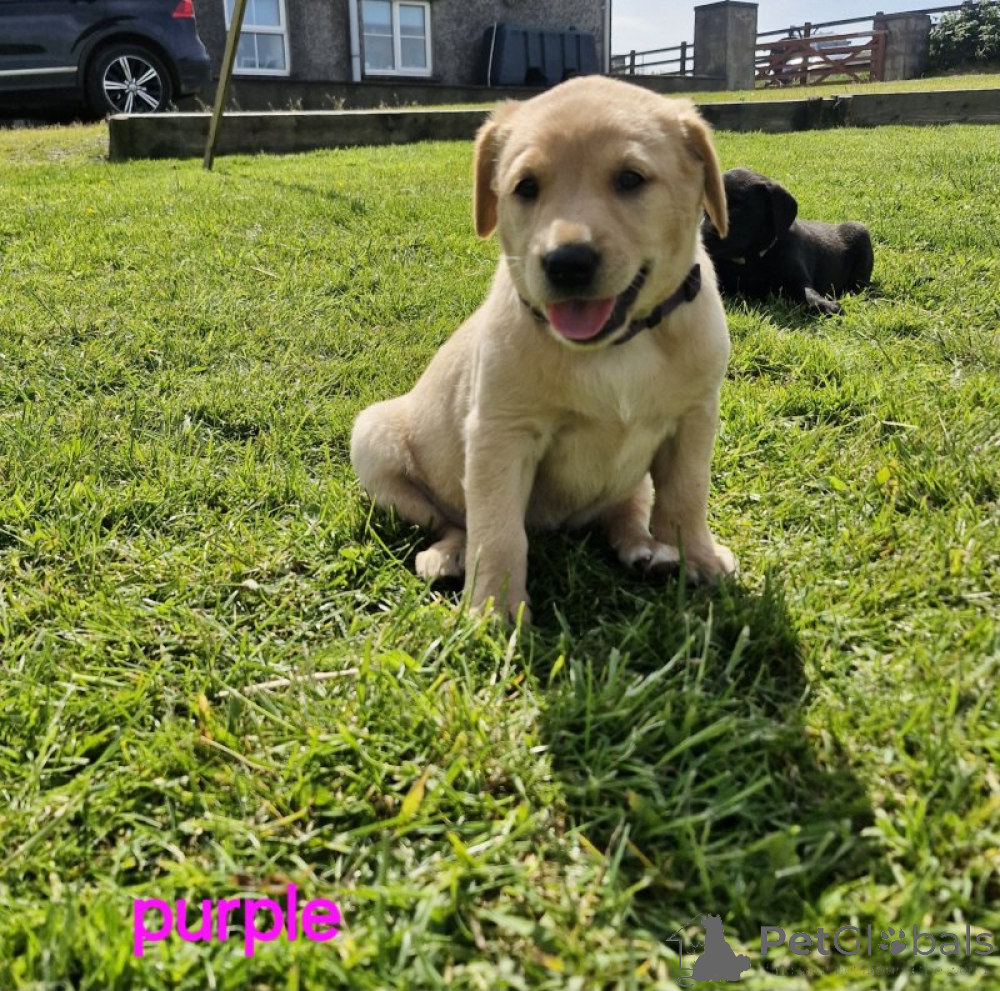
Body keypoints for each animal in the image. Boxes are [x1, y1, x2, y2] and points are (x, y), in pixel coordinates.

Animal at [350, 76, 737, 623]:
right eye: (526, 187)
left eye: (631, 179)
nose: (566, 262)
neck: (618, 346)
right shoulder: (500, 434)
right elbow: (498, 530)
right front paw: (493, 609)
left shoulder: (695, 417)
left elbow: (686, 496)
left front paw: (698, 558)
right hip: (373, 441)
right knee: (455, 522)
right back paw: (446, 556)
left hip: (632, 480)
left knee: (626, 510)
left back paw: (646, 549)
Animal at [702, 167, 873, 315]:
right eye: (704, 209)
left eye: (735, 208)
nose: (700, 237)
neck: (750, 260)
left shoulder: (797, 279)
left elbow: (808, 293)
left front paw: (825, 305)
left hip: (860, 233)